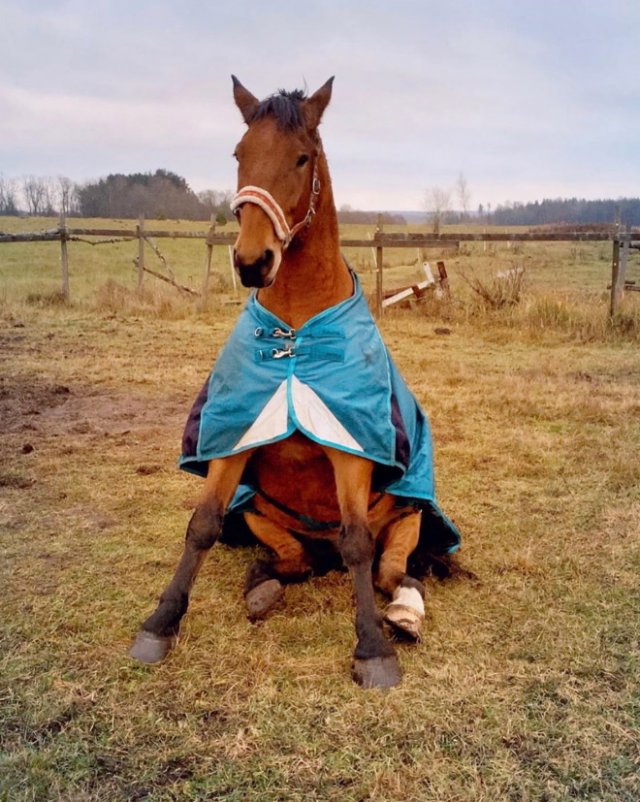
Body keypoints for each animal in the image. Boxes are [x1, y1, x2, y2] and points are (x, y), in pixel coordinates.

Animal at [130, 76, 460, 688]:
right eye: (239, 154)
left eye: (302, 157)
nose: (252, 261)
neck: (296, 340)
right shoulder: (235, 440)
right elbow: (202, 525)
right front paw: (161, 622)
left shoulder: (350, 448)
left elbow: (357, 543)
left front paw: (372, 648)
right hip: (261, 513)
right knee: (293, 563)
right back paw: (262, 585)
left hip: (409, 512)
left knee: (390, 572)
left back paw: (403, 613)